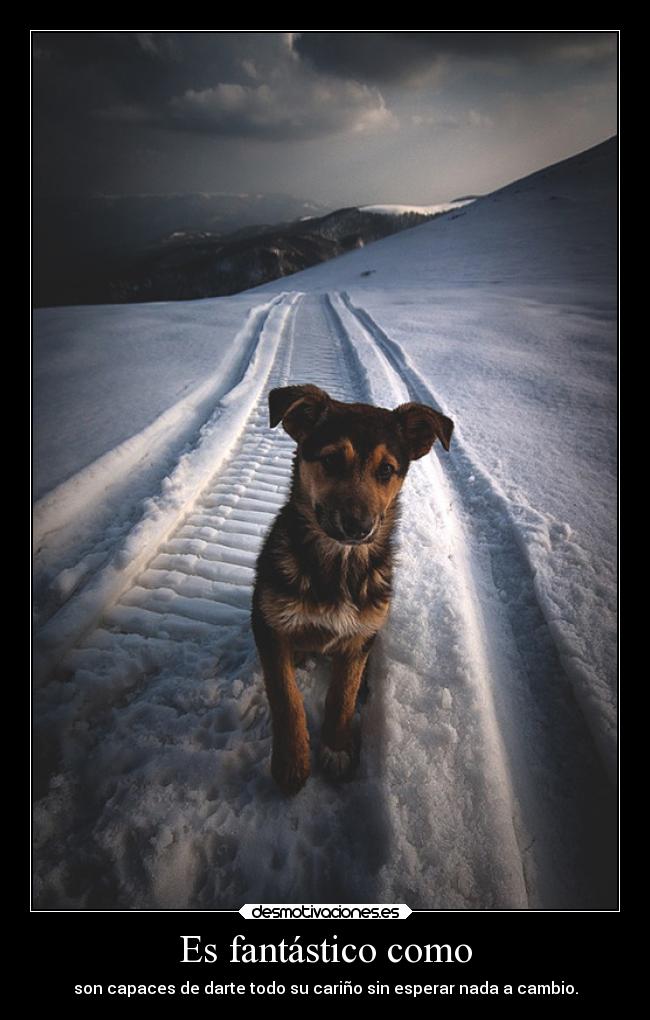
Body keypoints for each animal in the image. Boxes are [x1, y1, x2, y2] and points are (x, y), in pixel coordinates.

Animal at [251, 381, 453, 787]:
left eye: (387, 469)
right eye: (330, 461)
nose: (358, 527)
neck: (338, 566)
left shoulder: (361, 634)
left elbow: (342, 693)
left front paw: (338, 746)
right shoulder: (267, 624)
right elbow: (285, 695)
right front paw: (292, 762)